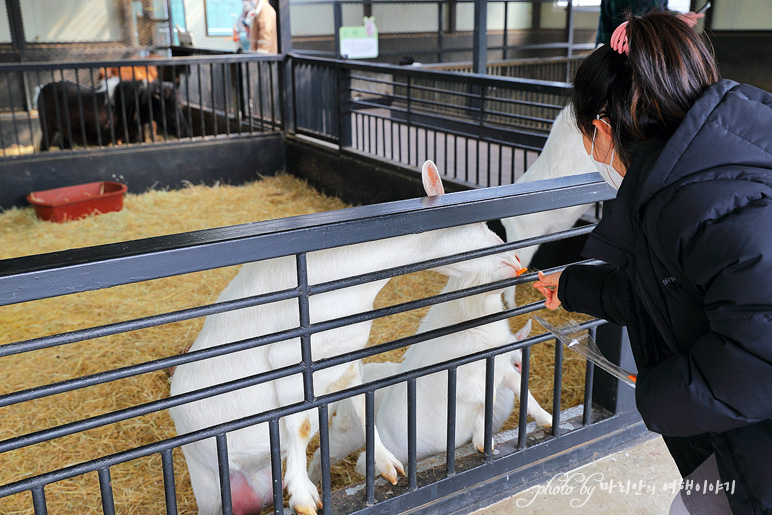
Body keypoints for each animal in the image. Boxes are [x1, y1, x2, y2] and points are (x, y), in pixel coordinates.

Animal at [166, 161, 520, 515]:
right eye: (475, 221)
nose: (516, 261)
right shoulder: (292, 361)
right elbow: (300, 426)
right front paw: (304, 496)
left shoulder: (347, 354)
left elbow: (364, 403)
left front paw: (387, 465)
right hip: (206, 480)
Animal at [308, 278, 548, 484]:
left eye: (520, 363)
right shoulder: (456, 377)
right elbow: (481, 395)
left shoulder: (501, 371)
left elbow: (521, 391)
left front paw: (545, 419)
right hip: (356, 432)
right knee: (337, 457)